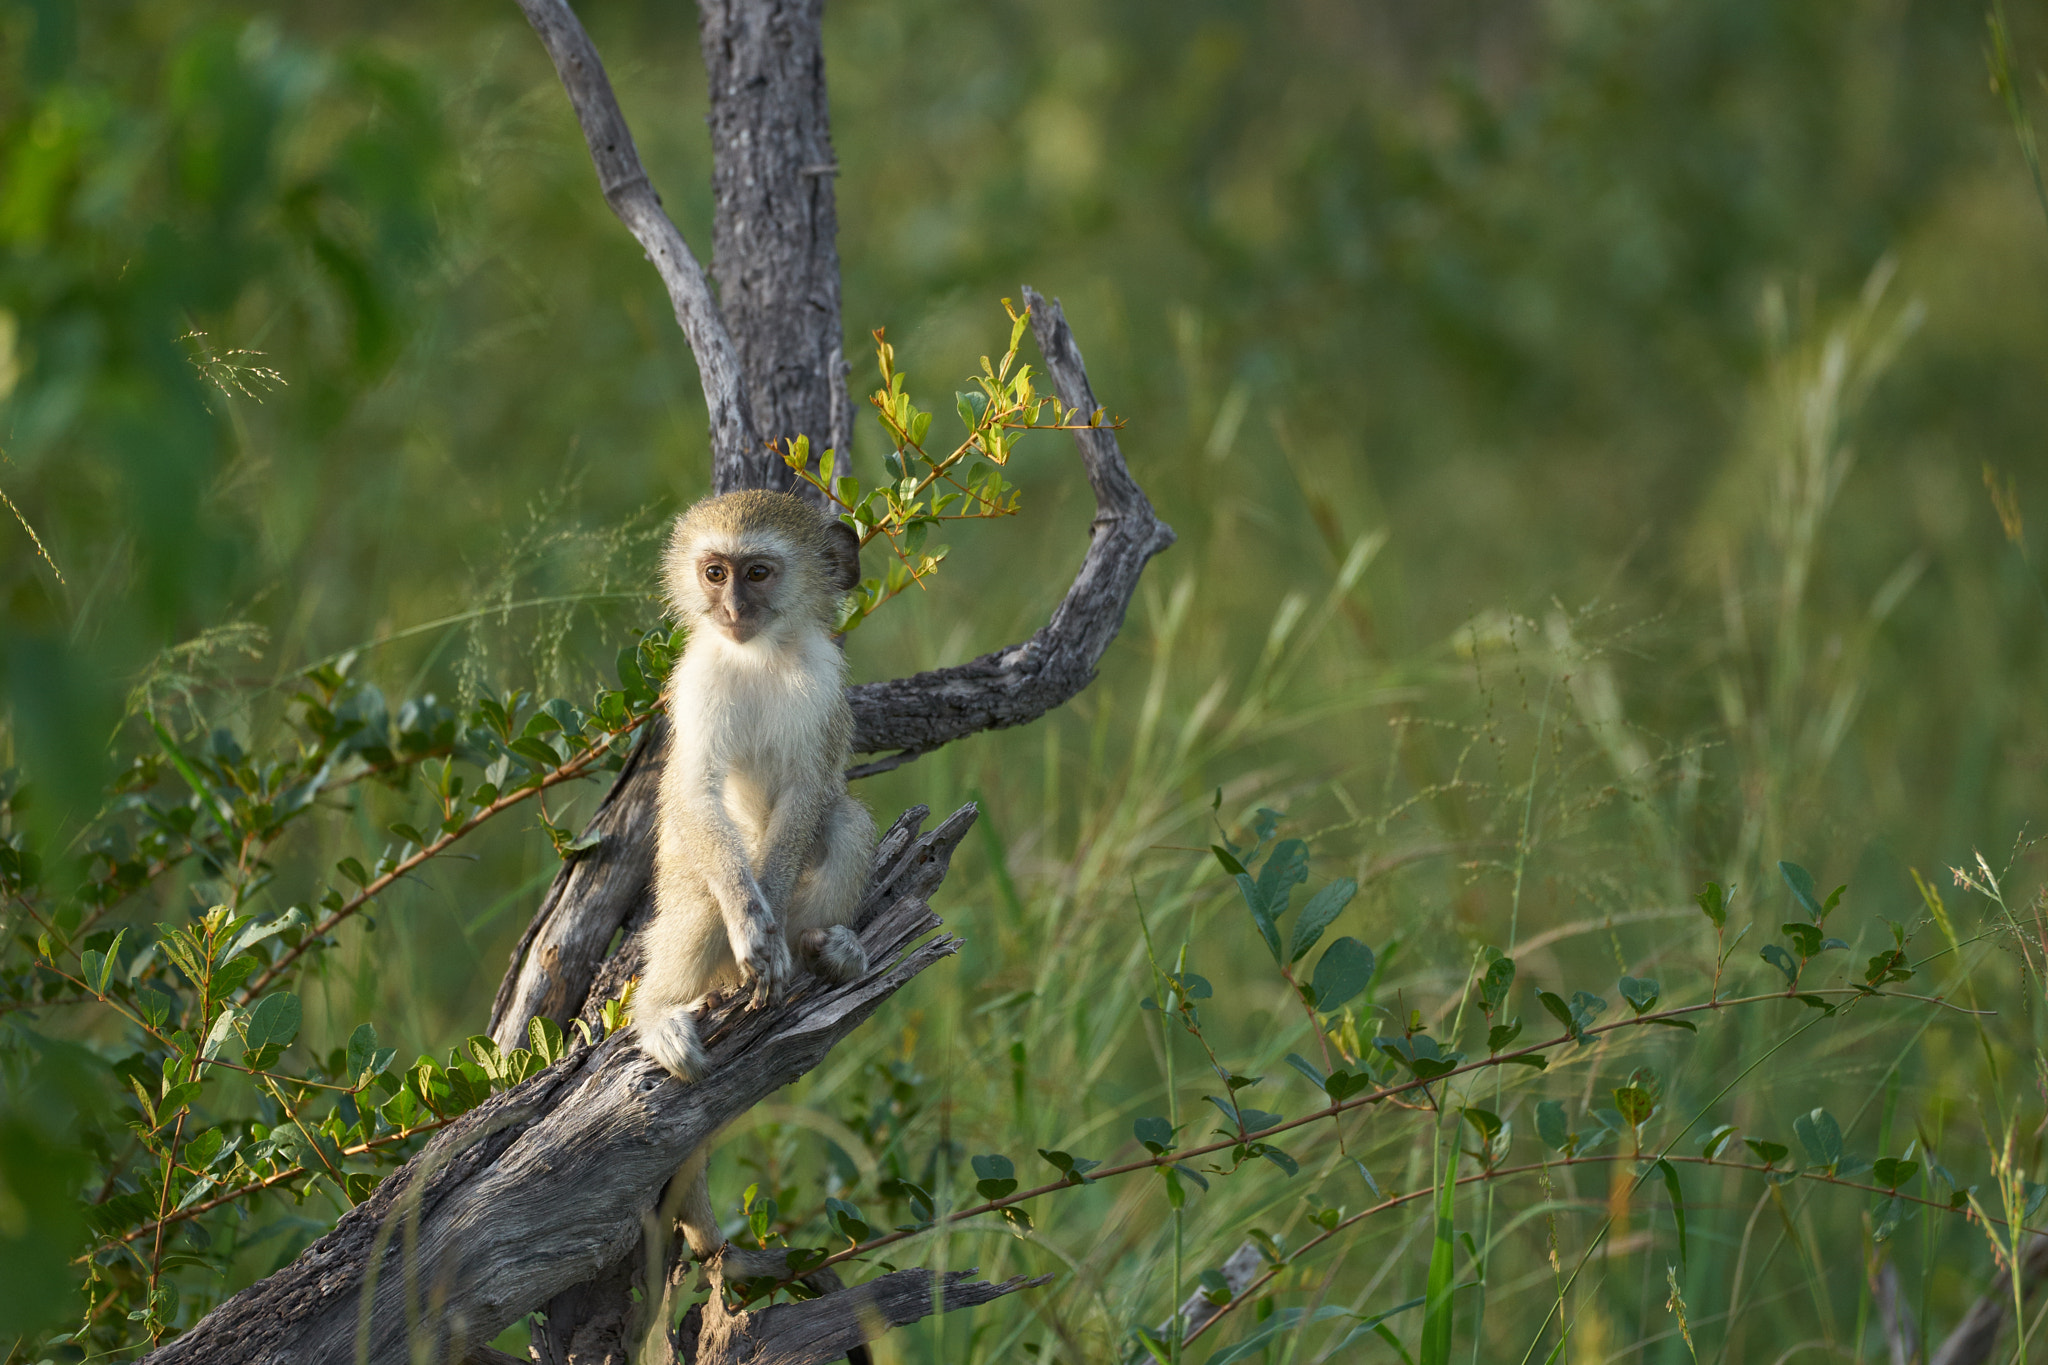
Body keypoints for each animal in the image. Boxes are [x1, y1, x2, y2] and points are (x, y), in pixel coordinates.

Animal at [630, 489, 872, 1285]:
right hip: (683, 897)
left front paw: (773, 933)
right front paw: (747, 919)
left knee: (845, 818)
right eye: (715, 571)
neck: (758, 656)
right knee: (701, 893)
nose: (731, 606)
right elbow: (697, 791)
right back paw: (661, 1009)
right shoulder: (697, 678)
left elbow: (807, 794)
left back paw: (826, 947)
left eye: (758, 572)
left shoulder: (824, 681)